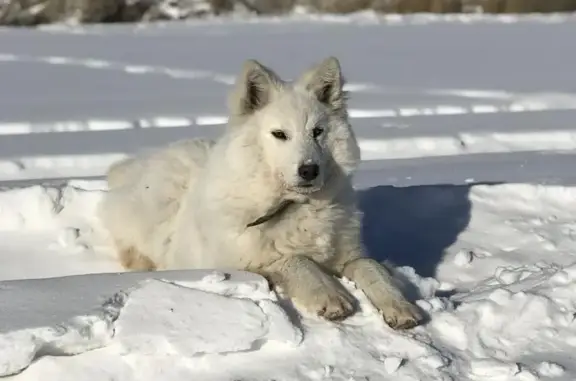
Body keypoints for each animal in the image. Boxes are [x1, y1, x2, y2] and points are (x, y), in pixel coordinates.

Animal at [99, 57, 424, 330]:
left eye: (317, 132)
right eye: (280, 135)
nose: (309, 170)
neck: (297, 205)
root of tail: (138, 162)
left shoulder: (350, 256)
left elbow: (372, 268)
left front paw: (399, 306)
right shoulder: (248, 263)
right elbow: (295, 261)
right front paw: (330, 296)